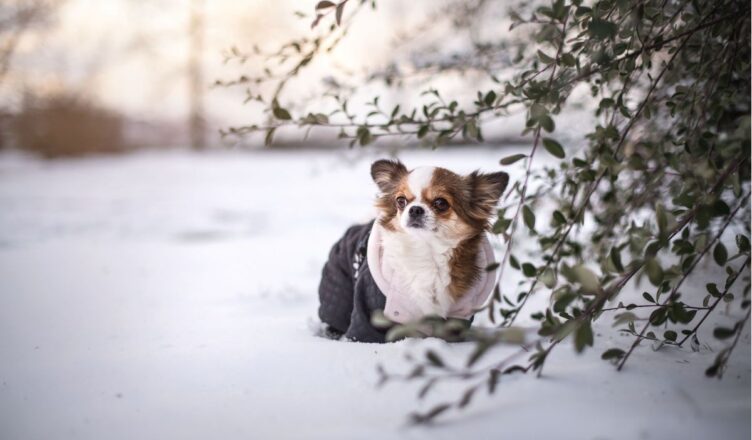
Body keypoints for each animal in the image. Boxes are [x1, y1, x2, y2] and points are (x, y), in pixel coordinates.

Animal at [314, 160, 508, 342]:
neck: (426, 252)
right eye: (401, 201)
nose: (415, 209)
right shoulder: (370, 309)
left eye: (441, 203)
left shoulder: (459, 316)